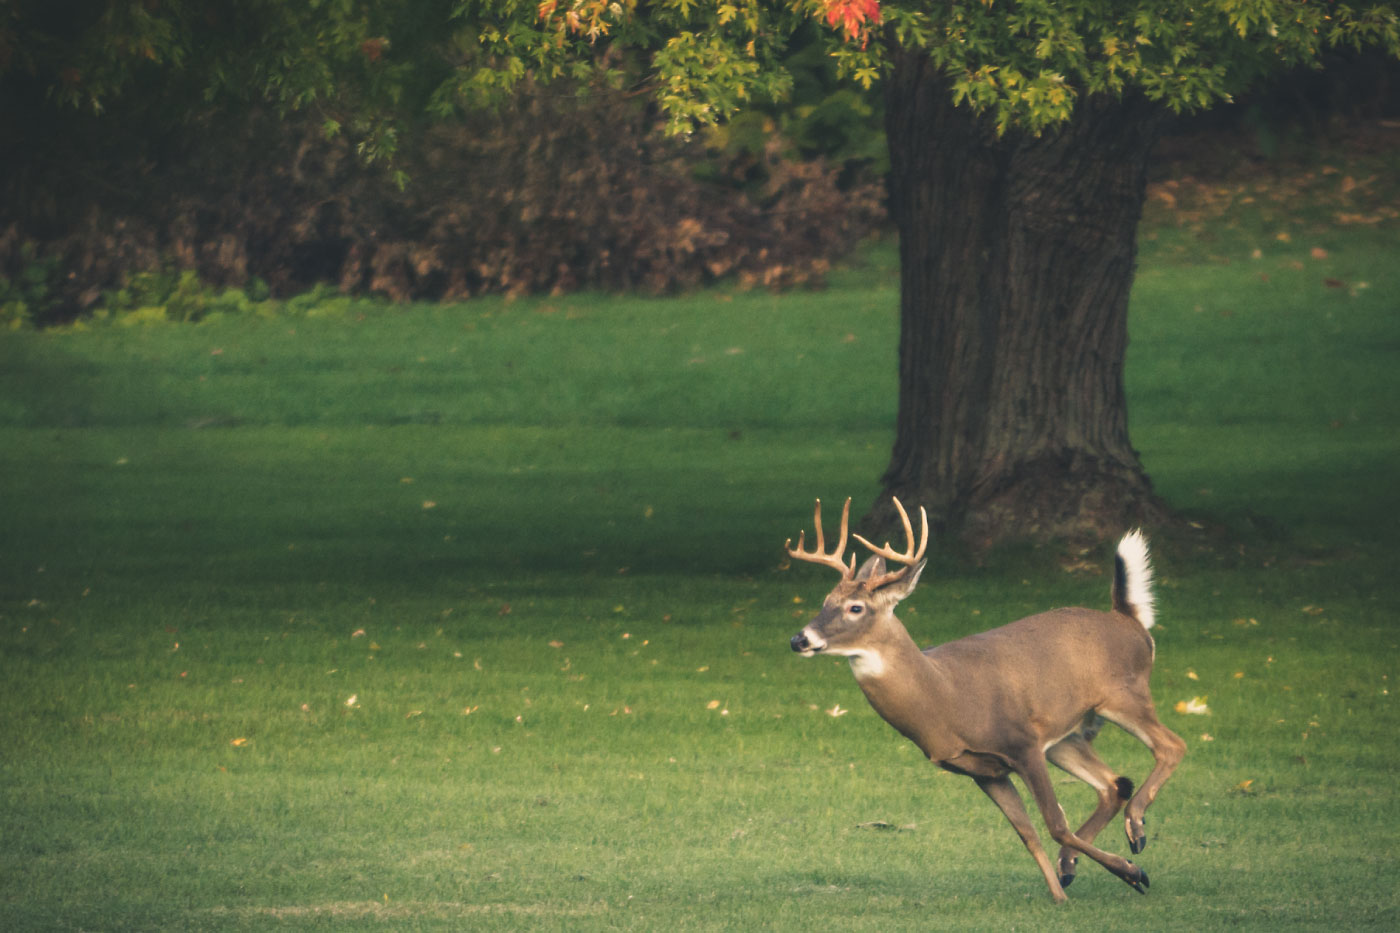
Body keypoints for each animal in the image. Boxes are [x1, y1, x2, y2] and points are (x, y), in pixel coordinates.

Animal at [789, 498, 1181, 896]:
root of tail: (1128, 619)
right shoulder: (984, 770)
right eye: (825, 601)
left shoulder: (1022, 743)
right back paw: (1073, 864)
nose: (799, 639)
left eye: (856, 607)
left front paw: (1134, 872)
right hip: (1065, 738)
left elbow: (1055, 823)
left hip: (1123, 695)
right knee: (1114, 784)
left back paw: (1135, 830)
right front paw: (1060, 897)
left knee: (1170, 746)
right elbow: (1028, 834)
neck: (945, 698)